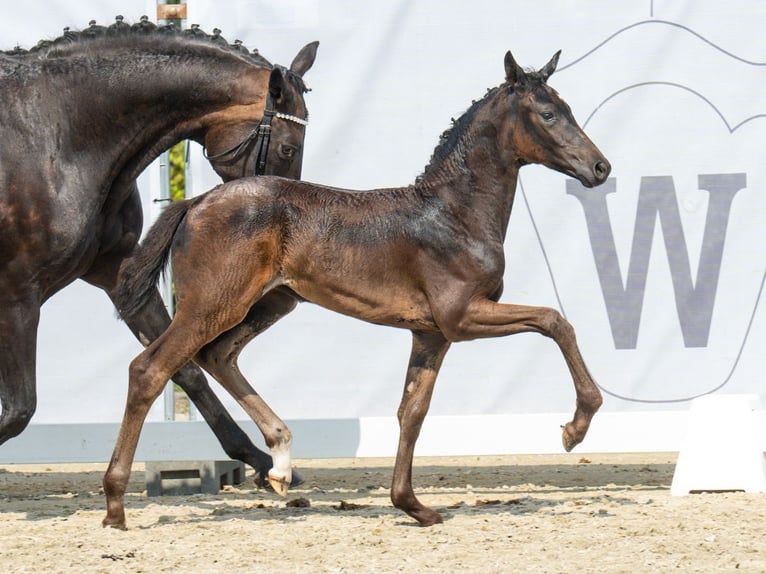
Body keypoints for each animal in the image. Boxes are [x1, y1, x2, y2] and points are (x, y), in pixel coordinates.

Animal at [0, 18, 318, 486]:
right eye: (287, 148)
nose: (284, 211)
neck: (57, 133)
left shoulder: (116, 272)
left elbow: (185, 369)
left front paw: (259, 459)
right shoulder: (18, 294)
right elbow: (19, 411)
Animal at [111, 49, 612, 532]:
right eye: (548, 113)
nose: (600, 167)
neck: (454, 213)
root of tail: (196, 201)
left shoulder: (431, 333)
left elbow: (412, 412)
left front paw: (412, 505)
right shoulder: (462, 316)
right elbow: (554, 320)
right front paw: (576, 427)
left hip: (271, 303)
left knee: (218, 356)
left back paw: (279, 462)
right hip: (213, 305)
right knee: (151, 369)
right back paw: (115, 503)